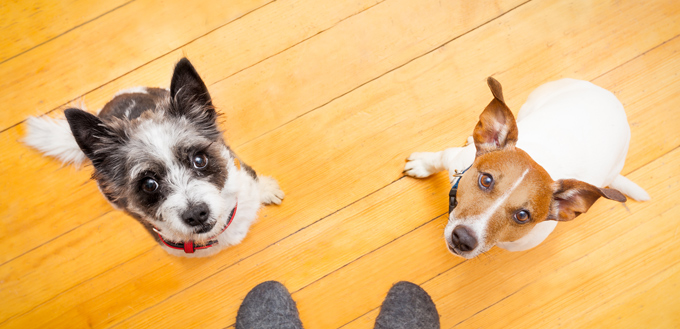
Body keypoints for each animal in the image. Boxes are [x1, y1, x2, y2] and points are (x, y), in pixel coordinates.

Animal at [404, 77, 648, 258]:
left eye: (522, 215)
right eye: (486, 180)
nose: (463, 239)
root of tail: (610, 98)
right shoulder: (454, 159)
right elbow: (437, 158)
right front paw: (422, 164)